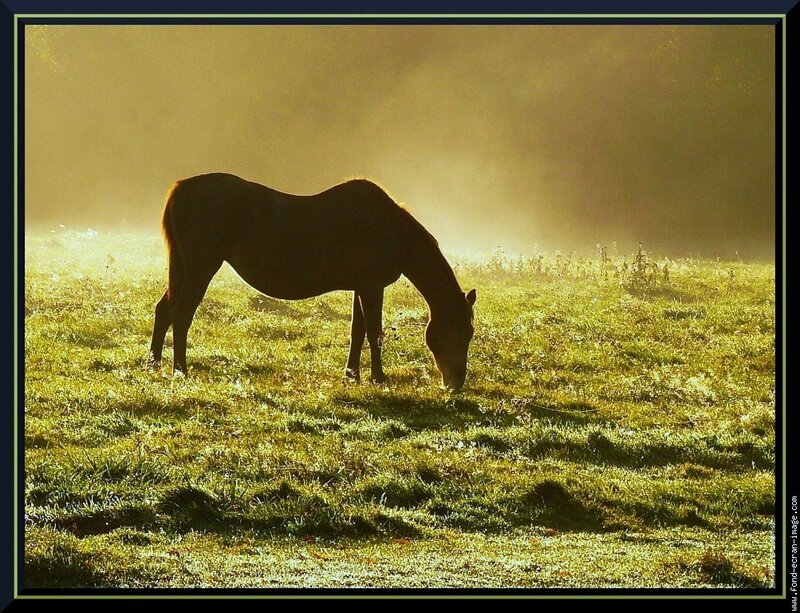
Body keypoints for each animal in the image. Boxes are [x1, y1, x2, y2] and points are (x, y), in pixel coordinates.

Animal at [147, 173, 477, 391]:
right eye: (464, 331)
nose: (456, 384)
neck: (392, 230)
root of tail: (181, 188)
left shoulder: (361, 287)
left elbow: (357, 332)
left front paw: (352, 374)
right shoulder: (372, 287)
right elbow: (374, 332)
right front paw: (378, 378)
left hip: (182, 268)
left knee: (164, 310)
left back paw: (154, 364)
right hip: (201, 268)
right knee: (181, 314)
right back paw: (180, 370)